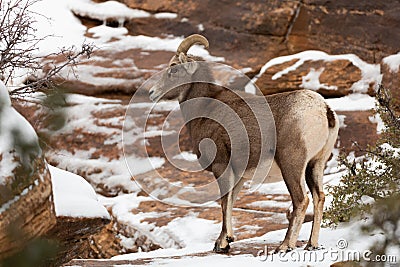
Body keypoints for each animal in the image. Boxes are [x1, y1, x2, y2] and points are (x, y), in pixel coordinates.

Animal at [148, 34, 340, 253]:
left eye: (173, 68)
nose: (152, 92)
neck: (206, 108)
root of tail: (324, 110)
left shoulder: (221, 165)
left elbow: (224, 202)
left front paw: (224, 243)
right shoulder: (238, 173)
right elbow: (230, 201)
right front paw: (223, 241)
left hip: (292, 164)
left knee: (301, 200)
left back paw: (284, 246)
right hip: (315, 165)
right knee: (319, 197)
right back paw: (311, 244)